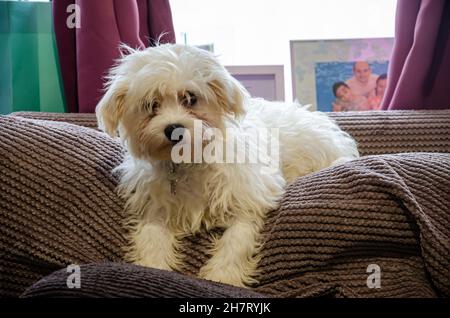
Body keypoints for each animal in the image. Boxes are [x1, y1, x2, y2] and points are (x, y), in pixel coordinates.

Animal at [96, 43, 358, 286]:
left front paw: (223, 275)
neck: (189, 163)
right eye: (151, 105)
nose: (174, 129)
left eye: (190, 98)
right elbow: (152, 239)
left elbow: (236, 241)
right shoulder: (156, 208)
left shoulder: (246, 200)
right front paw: (151, 268)